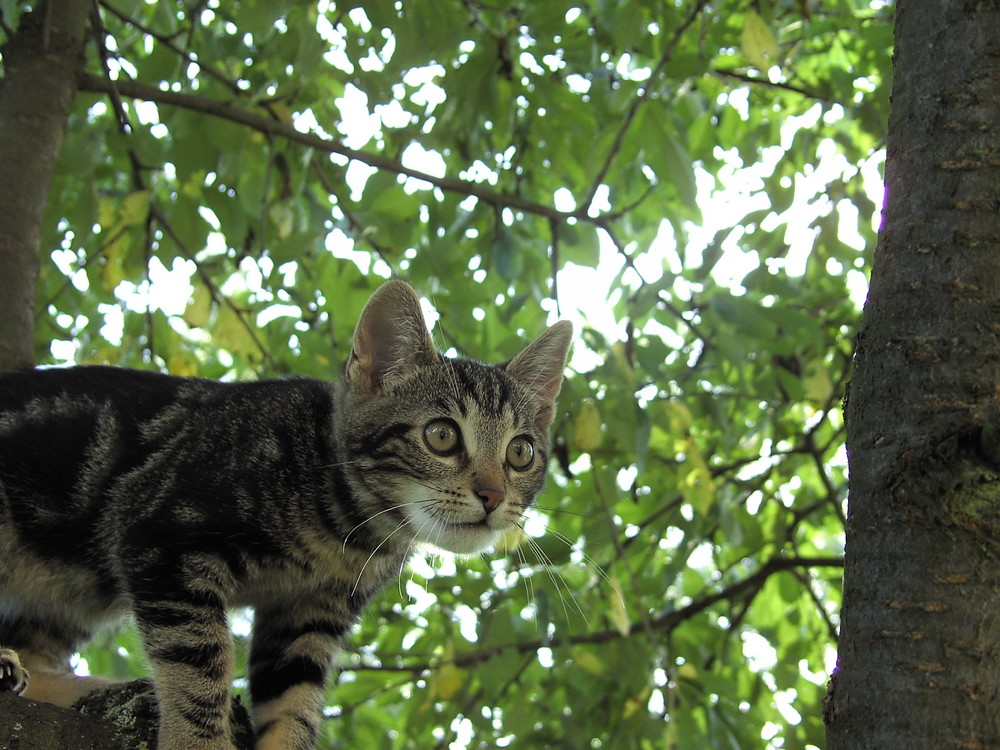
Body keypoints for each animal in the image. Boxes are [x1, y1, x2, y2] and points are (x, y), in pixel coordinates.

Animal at [0, 280, 572, 748]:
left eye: (521, 452)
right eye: (441, 436)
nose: (493, 495)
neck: (346, 533)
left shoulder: (307, 618)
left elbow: (293, 704)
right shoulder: (159, 534)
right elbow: (200, 662)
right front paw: (198, 741)